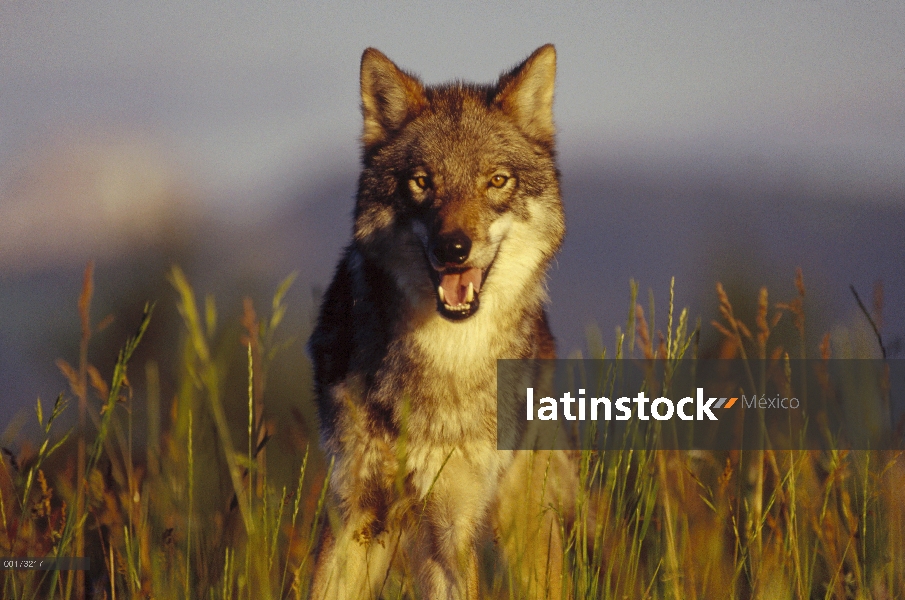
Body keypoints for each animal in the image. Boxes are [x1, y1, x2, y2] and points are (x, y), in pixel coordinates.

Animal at [306, 44, 572, 596]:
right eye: (422, 181)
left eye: (496, 180)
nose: (453, 249)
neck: (444, 360)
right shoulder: (353, 514)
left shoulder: (452, 525)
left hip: (527, 533)